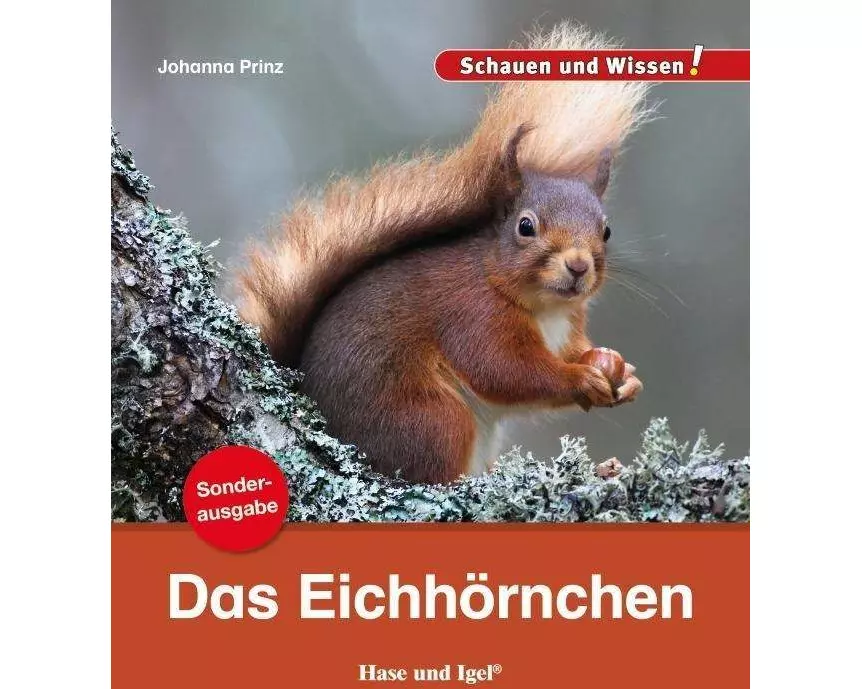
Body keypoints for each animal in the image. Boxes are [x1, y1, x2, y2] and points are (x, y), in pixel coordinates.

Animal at [237, 23, 653, 484]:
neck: (545, 307)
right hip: (432, 420)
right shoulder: (472, 315)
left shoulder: (567, 326)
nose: (579, 266)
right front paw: (579, 378)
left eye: (606, 230)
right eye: (525, 226)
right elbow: (505, 370)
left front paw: (618, 370)